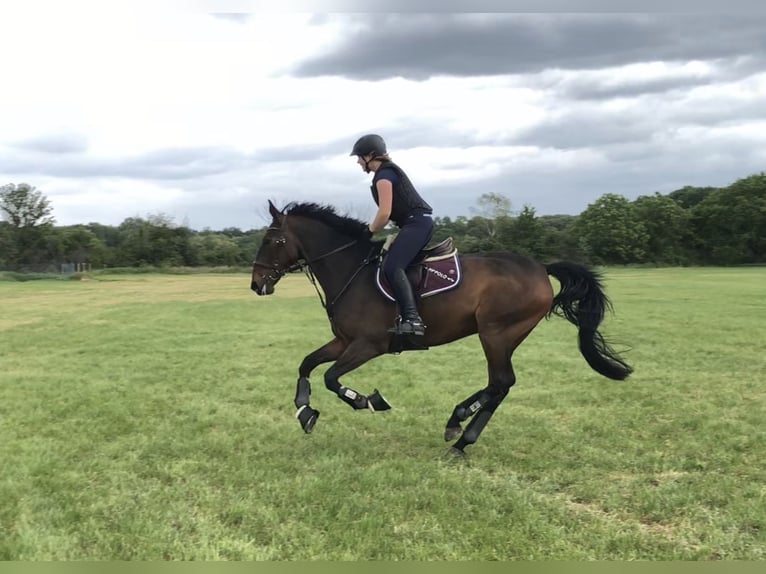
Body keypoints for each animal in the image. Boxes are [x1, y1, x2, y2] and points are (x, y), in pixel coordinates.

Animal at [252, 201, 636, 460]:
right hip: (501, 336)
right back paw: (459, 426)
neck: (351, 272)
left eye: (274, 241)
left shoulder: (368, 345)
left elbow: (331, 377)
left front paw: (367, 401)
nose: (256, 284)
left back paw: (461, 432)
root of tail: (541, 269)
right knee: (499, 385)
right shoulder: (343, 341)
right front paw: (304, 411)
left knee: (501, 382)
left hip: (496, 333)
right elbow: (306, 363)